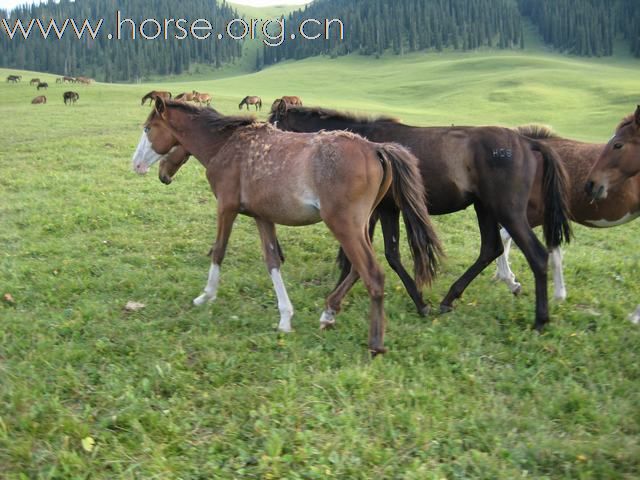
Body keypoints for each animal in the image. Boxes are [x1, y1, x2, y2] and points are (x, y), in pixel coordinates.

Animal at [130, 99, 440, 354]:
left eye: (148, 128)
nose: (138, 166)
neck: (226, 145)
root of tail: (376, 148)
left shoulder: (226, 208)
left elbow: (218, 251)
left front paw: (206, 296)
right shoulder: (262, 217)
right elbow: (272, 261)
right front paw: (285, 318)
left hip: (344, 225)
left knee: (372, 274)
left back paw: (374, 342)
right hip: (360, 225)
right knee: (356, 268)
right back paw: (329, 313)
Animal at [268, 104, 572, 330]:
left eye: (273, 123)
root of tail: (528, 142)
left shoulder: (380, 210)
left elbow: (383, 255)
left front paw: (420, 303)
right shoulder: (382, 211)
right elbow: (368, 255)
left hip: (507, 210)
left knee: (536, 255)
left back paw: (540, 320)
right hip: (485, 207)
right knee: (490, 248)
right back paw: (449, 299)